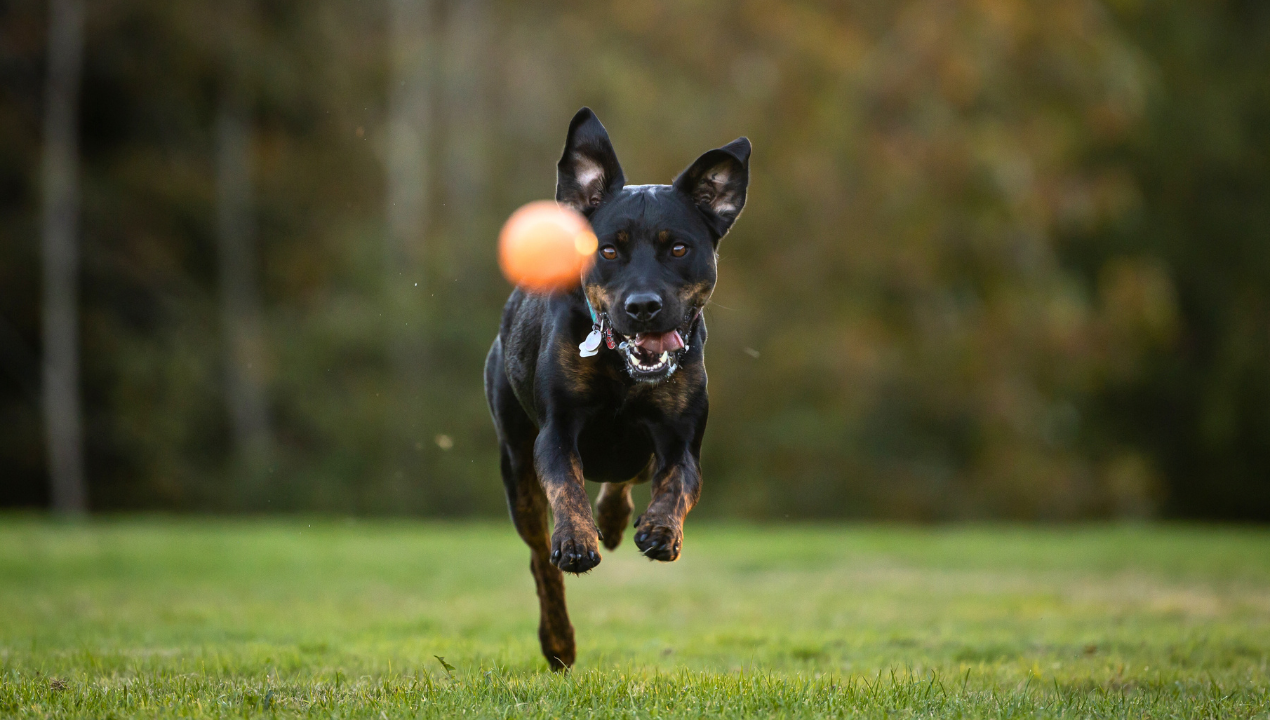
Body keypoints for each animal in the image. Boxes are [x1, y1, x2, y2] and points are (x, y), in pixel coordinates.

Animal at [482, 108, 741, 670]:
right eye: (608, 250)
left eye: (679, 247)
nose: (642, 306)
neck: (623, 373)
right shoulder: (556, 431)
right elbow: (566, 484)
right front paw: (578, 538)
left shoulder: (681, 437)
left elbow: (679, 484)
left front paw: (660, 530)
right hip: (515, 465)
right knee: (540, 560)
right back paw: (558, 639)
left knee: (627, 477)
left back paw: (618, 518)